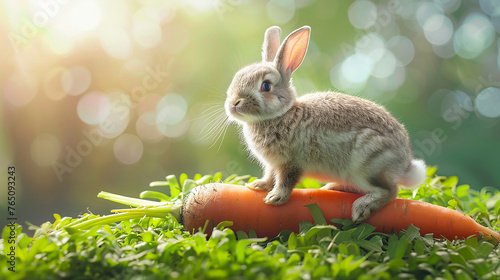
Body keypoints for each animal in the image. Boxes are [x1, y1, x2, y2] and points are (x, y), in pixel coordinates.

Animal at [226, 26, 426, 223]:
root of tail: (404, 164)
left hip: (368, 163)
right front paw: (257, 185)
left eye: (266, 86)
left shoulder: (292, 162)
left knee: (391, 191)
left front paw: (275, 198)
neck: (282, 114)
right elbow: (269, 176)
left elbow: (286, 181)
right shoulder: (272, 164)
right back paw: (331, 188)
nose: (234, 103)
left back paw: (360, 208)